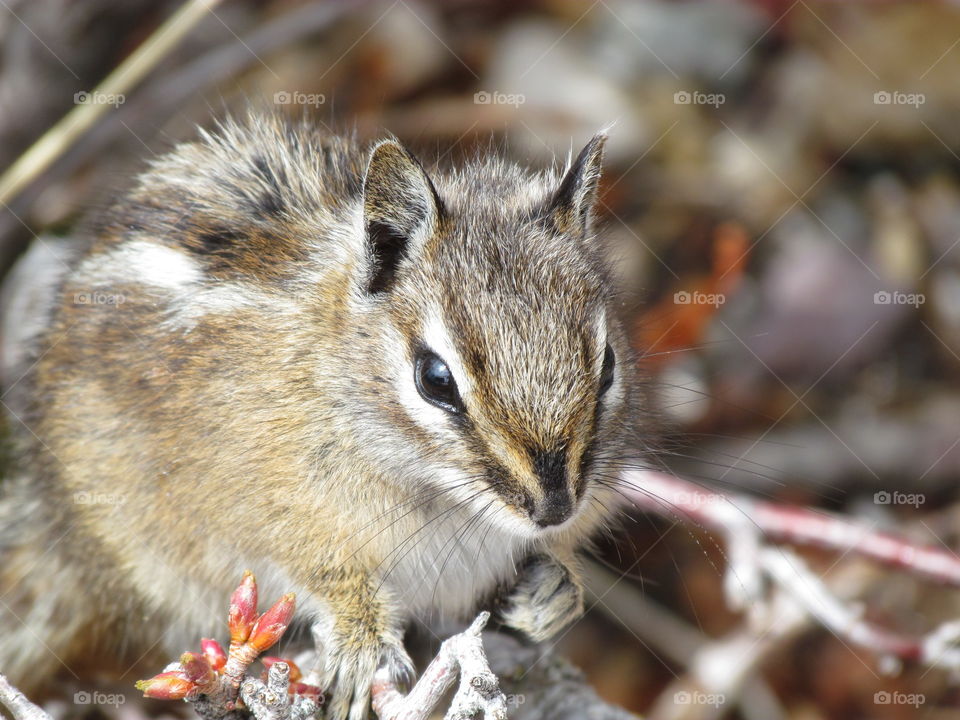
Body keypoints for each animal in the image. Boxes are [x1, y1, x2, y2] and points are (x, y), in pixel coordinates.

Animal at [0, 112, 649, 720]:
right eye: (435, 379)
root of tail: (55, 525)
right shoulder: (271, 509)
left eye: (608, 363)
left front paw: (556, 586)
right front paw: (362, 638)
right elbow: (320, 568)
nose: (554, 509)